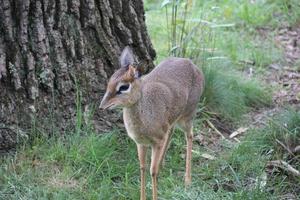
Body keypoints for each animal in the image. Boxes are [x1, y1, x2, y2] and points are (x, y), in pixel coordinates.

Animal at [100, 46, 204, 199]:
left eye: (124, 87)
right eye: (110, 81)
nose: (102, 105)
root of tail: (189, 63)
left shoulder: (157, 142)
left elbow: (152, 171)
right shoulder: (141, 143)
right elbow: (143, 168)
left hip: (187, 118)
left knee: (189, 136)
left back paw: (187, 180)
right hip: (173, 121)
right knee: (171, 132)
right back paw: (163, 164)